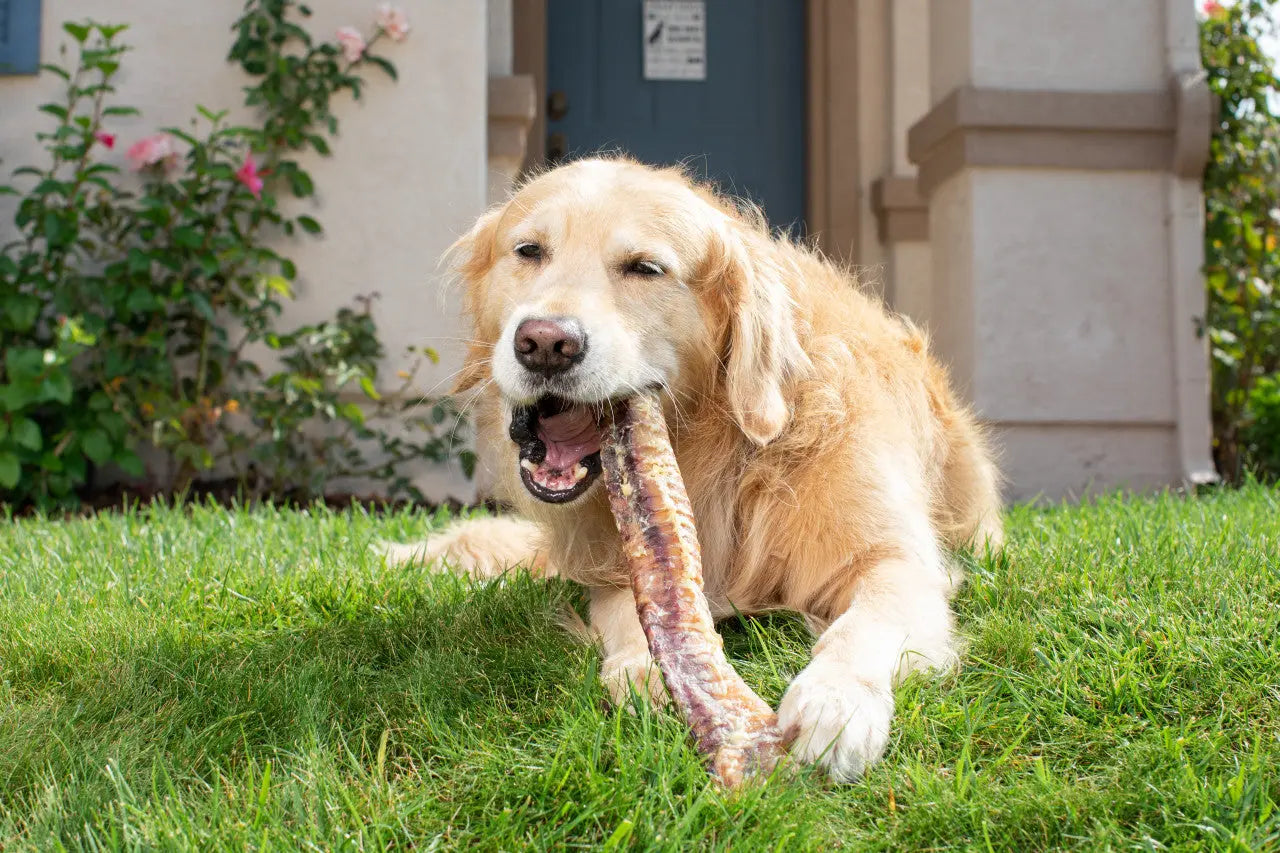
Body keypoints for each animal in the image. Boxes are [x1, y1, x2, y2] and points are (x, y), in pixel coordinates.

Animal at [384, 156, 1003, 778]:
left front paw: (836, 701)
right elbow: (635, 615)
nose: (545, 343)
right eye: (529, 250)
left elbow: (865, 622)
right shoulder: (620, 567)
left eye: (645, 268)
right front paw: (644, 670)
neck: (722, 456)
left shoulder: (896, 559)